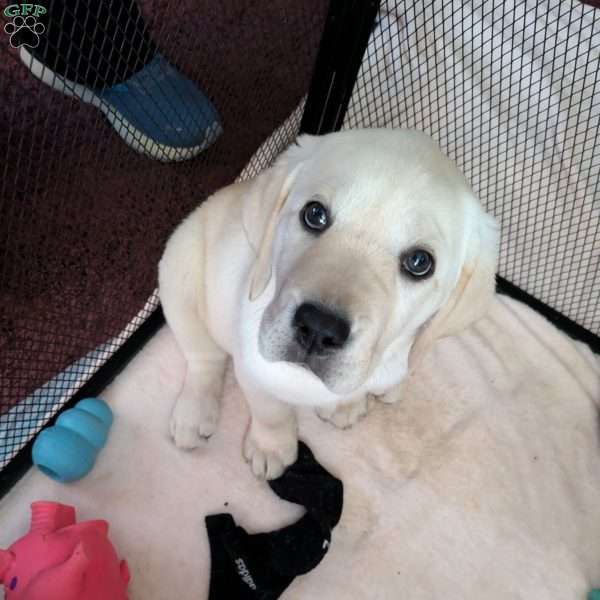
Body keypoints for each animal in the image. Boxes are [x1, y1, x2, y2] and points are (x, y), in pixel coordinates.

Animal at [157, 129, 500, 480]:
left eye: (420, 263)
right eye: (315, 214)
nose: (319, 328)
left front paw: (345, 405)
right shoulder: (253, 369)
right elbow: (271, 412)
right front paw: (272, 447)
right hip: (178, 274)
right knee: (203, 356)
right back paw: (194, 412)